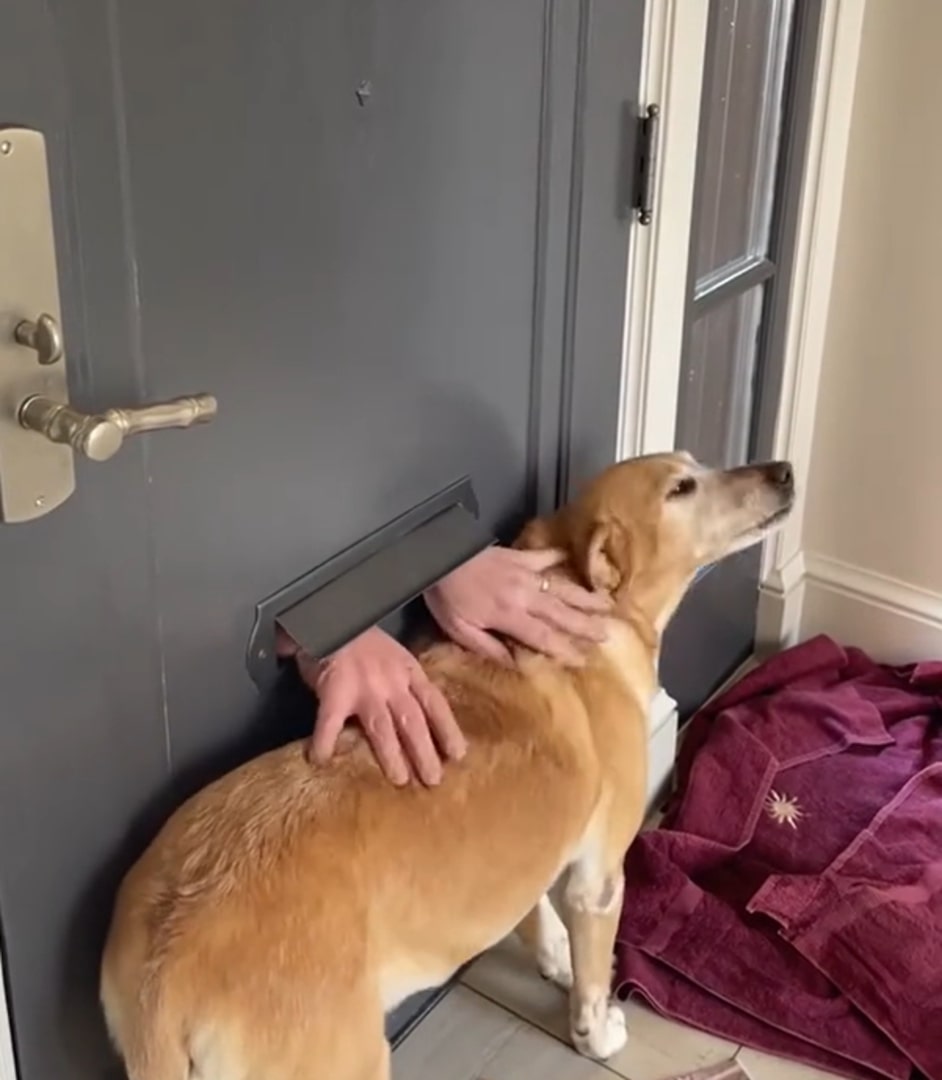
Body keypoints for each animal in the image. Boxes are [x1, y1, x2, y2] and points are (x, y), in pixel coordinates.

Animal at [101, 453, 795, 1080]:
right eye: (681, 487)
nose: (784, 470)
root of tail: (165, 969)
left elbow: (535, 913)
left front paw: (554, 958)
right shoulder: (599, 879)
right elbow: (593, 981)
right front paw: (596, 1034)